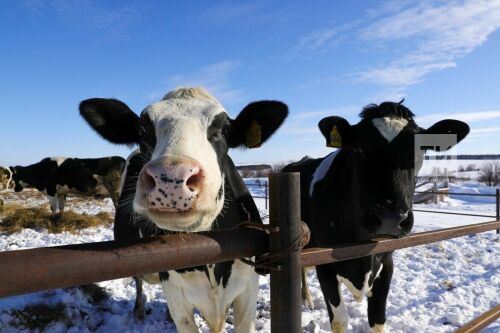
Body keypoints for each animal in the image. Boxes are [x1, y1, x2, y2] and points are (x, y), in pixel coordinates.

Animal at [79, 87, 288, 330]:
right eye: (141, 129)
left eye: (224, 129)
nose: (171, 179)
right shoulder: (175, 294)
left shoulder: (247, 289)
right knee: (138, 280)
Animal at [284, 101, 470, 332]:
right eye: (358, 148)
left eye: (421, 148)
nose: (390, 217)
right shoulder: (325, 264)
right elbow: (339, 320)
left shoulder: (386, 262)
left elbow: (377, 319)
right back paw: (306, 298)